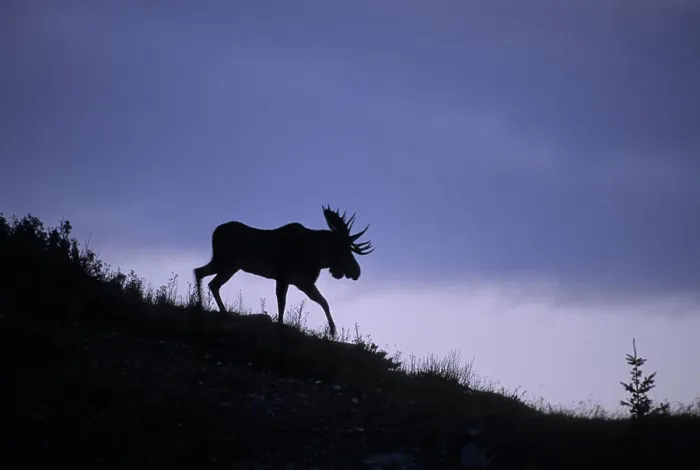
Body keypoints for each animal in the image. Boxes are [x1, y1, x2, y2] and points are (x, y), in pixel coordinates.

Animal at [193, 206, 374, 337]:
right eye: (345, 250)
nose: (357, 272)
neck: (317, 254)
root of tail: (214, 232)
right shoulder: (285, 277)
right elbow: (282, 303)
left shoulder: (301, 281)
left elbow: (323, 302)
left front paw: (332, 331)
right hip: (224, 260)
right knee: (207, 278)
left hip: (230, 265)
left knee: (206, 277)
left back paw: (210, 308)